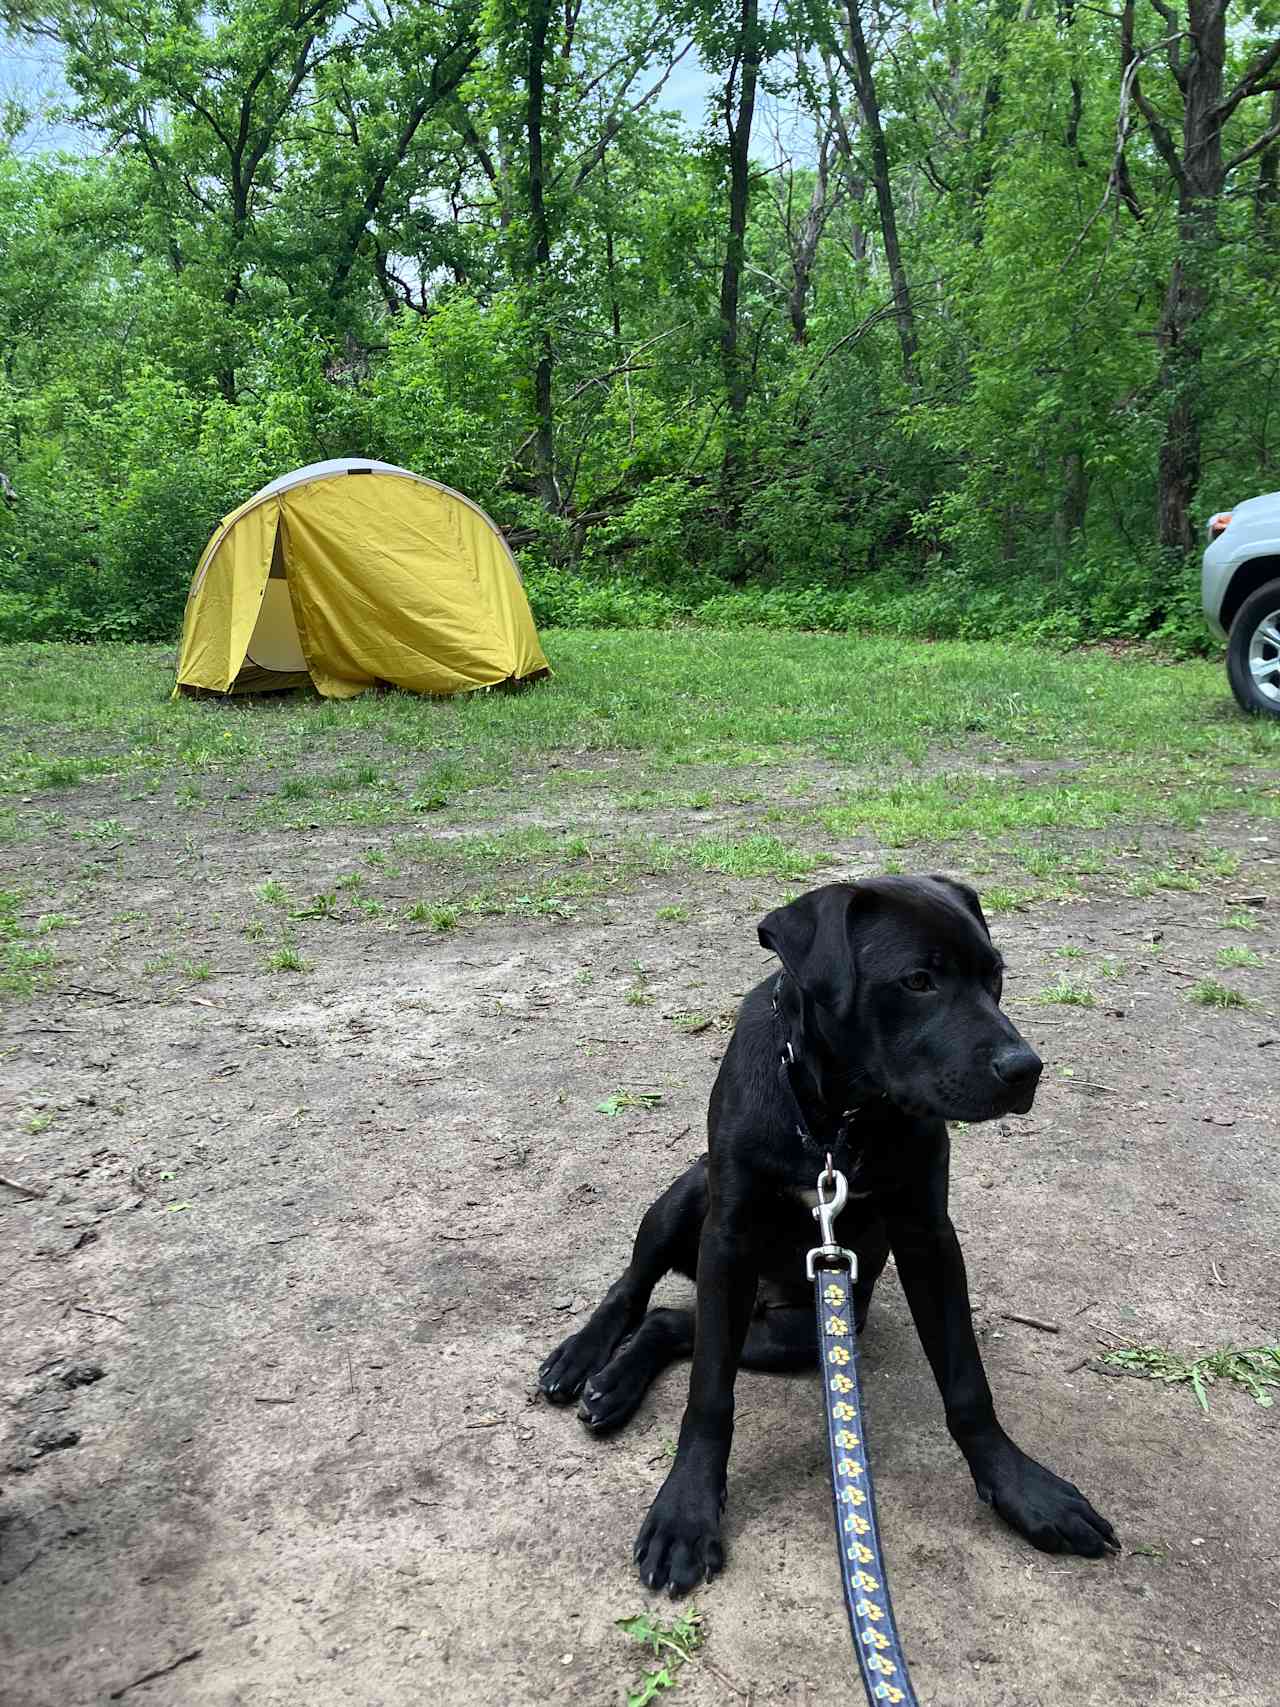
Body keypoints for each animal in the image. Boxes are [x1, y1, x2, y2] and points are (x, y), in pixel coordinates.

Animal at [535, 873, 1119, 1590]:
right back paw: (583, 1357)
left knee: (673, 1323)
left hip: (795, 1333)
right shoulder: (727, 1238)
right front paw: (686, 1510)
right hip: (691, 1195)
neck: (836, 1114)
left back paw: (615, 1384)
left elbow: (966, 1381)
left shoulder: (928, 1234)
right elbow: (709, 1394)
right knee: (636, 1289)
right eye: (918, 980)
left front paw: (1020, 1488)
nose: (1025, 1068)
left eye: (996, 976)